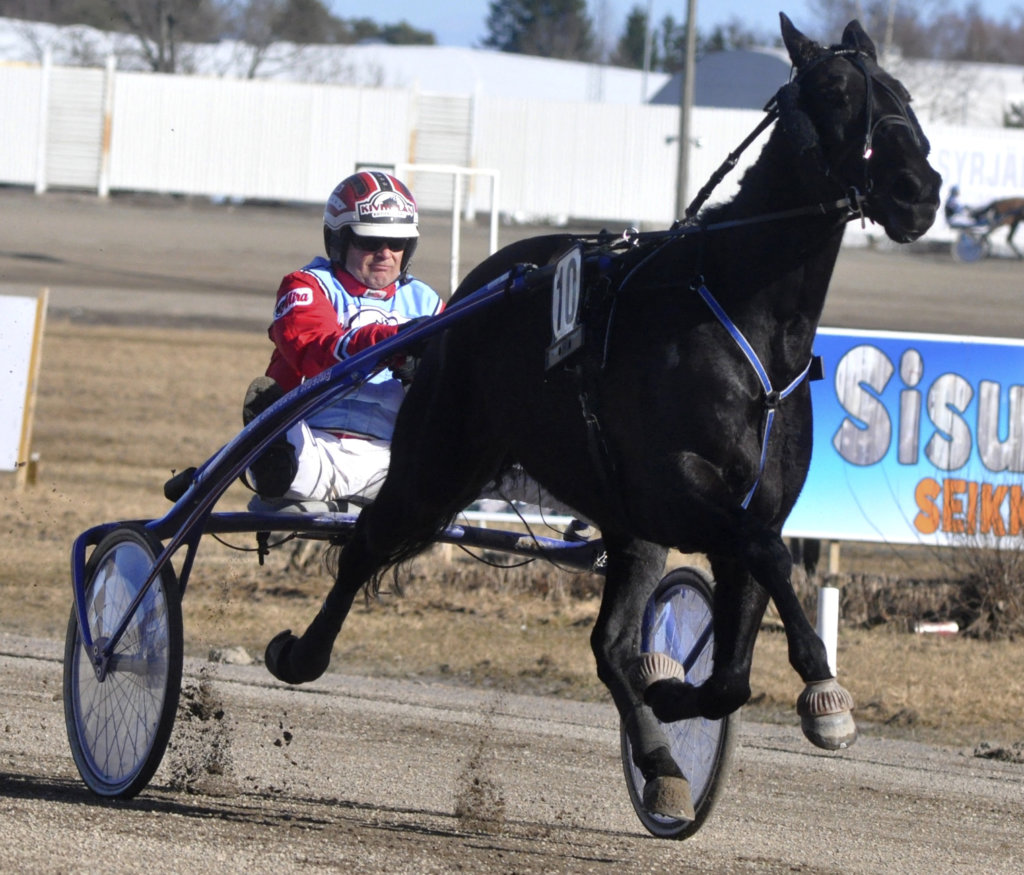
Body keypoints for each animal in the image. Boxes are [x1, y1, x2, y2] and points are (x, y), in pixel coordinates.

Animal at [262, 13, 937, 823]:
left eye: (904, 92)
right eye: (837, 90)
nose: (921, 189)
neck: (749, 318)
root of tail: (471, 295)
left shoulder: (739, 501)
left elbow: (729, 669)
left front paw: (674, 692)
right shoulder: (681, 489)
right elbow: (768, 554)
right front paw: (822, 691)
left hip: (620, 521)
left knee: (609, 644)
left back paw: (659, 761)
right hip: (437, 464)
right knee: (366, 542)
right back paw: (299, 653)